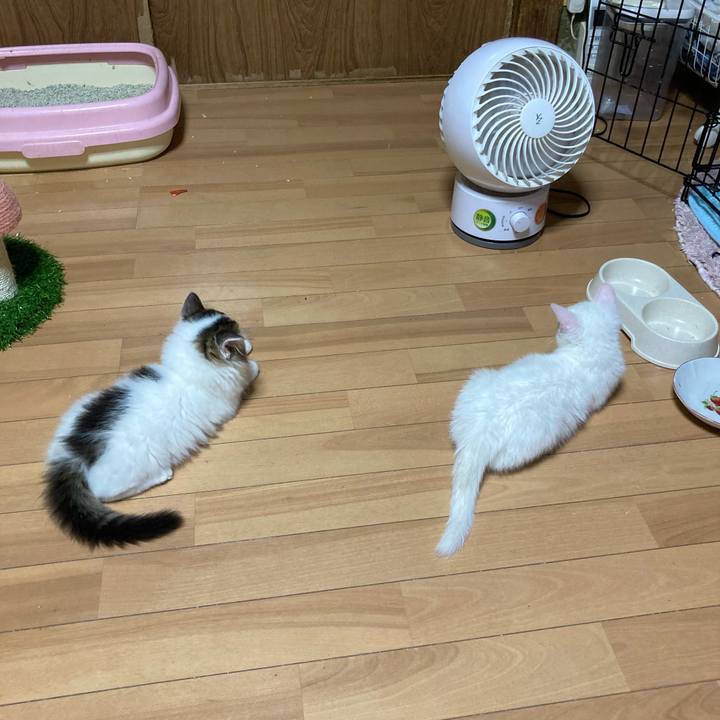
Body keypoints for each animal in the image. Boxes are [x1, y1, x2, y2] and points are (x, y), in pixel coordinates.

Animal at [44, 292, 259, 548]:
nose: (240, 328)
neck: (181, 372)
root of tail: (72, 454)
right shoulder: (229, 401)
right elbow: (246, 370)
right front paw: (250, 357)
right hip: (132, 468)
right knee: (105, 492)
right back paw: (162, 474)